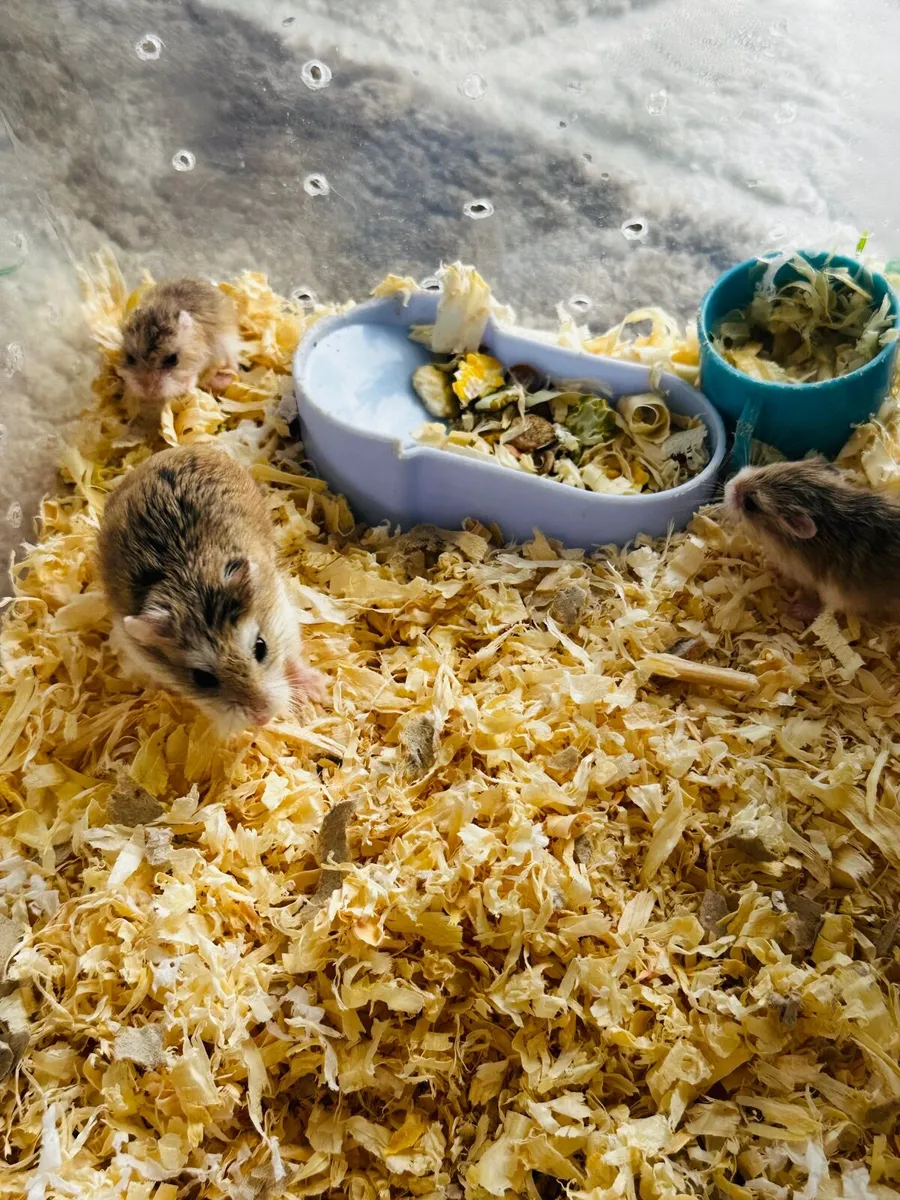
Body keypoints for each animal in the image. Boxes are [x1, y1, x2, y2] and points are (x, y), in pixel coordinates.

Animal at [98, 445, 326, 735]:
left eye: (261, 647)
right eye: (202, 679)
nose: (262, 718)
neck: (192, 586)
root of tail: (184, 449)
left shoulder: (282, 615)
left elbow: (293, 656)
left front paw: (318, 688)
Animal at [725, 459, 900, 620]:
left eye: (750, 504)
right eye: (768, 466)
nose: (728, 484)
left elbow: (823, 605)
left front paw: (797, 610)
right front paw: (768, 562)